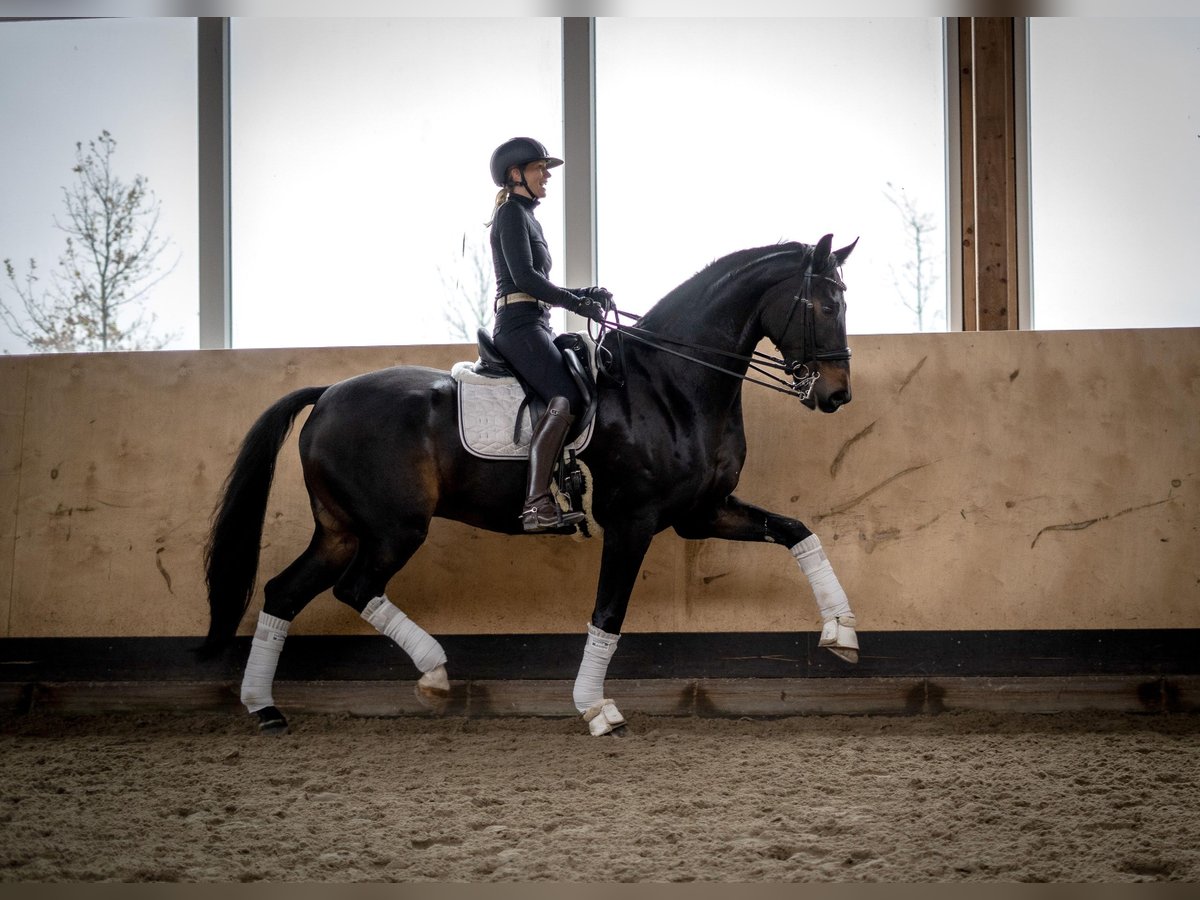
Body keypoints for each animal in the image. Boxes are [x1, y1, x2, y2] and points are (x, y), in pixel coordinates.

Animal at [204, 236, 864, 734]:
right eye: (825, 304)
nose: (836, 394)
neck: (671, 384)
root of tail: (329, 395)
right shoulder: (634, 520)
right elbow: (608, 613)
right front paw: (595, 708)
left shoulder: (701, 512)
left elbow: (796, 530)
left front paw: (842, 632)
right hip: (394, 528)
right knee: (354, 587)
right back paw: (434, 673)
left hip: (340, 529)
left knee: (284, 592)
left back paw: (266, 709)